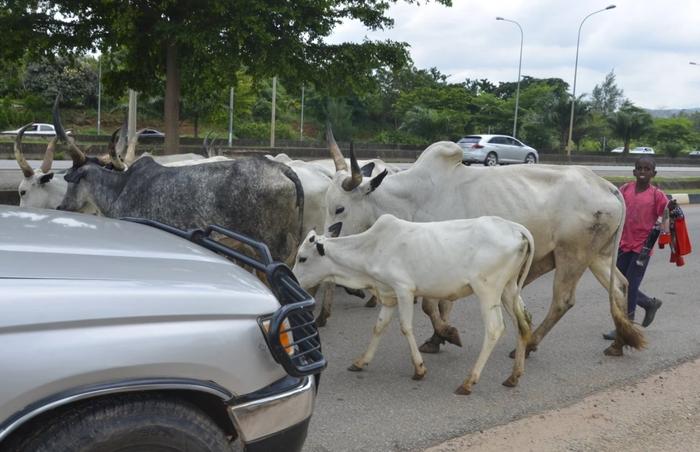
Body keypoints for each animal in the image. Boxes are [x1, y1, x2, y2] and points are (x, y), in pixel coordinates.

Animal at [292, 214, 532, 394]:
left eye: (302, 258)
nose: (294, 282)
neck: (371, 248)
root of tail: (514, 228)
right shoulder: (389, 295)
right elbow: (379, 327)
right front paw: (361, 361)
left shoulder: (404, 290)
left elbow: (405, 327)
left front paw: (419, 369)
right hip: (508, 289)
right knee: (522, 324)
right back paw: (514, 376)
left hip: (487, 291)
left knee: (494, 329)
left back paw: (469, 382)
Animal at [322, 133, 644, 356]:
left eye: (339, 208)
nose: (324, 245)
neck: (412, 198)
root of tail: (608, 186)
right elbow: (436, 304)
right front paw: (437, 339)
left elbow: (431, 305)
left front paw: (446, 334)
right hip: (598, 255)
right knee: (620, 286)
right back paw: (619, 343)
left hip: (572, 254)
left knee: (563, 300)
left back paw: (529, 345)